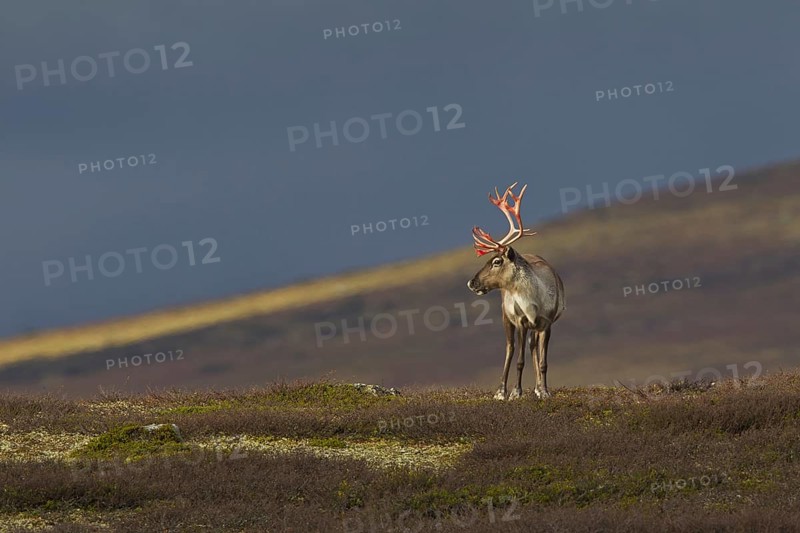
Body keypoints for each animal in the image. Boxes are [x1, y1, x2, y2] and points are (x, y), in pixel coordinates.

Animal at [466, 182, 565, 400]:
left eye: (496, 261)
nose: (471, 282)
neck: (534, 301)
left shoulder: (547, 324)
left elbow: (543, 362)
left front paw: (544, 391)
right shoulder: (520, 321)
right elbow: (519, 360)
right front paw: (515, 392)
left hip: (534, 328)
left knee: (533, 347)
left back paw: (537, 388)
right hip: (506, 317)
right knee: (510, 348)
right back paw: (501, 391)